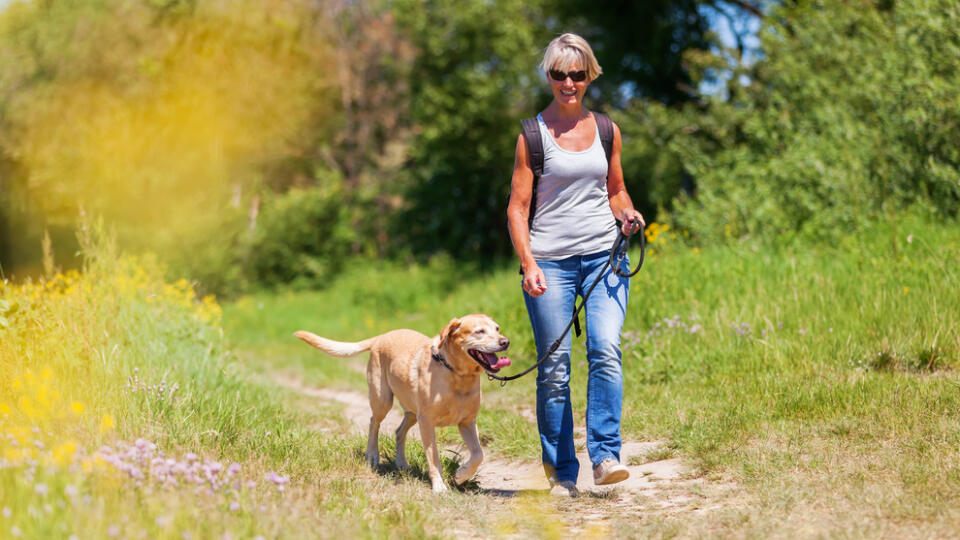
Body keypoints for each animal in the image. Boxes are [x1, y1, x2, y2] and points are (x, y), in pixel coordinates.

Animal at [296, 312, 512, 494]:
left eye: (497, 328)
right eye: (479, 331)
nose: (505, 342)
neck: (457, 375)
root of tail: (380, 336)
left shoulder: (467, 422)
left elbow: (478, 454)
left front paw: (461, 475)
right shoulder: (427, 422)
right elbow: (433, 457)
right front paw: (439, 486)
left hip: (412, 412)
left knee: (399, 431)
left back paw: (401, 462)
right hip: (383, 400)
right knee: (374, 422)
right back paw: (372, 455)